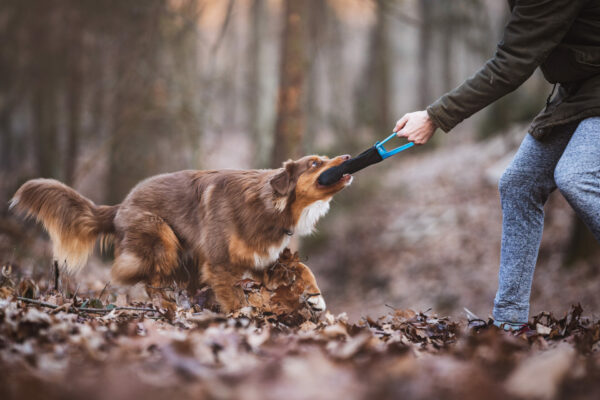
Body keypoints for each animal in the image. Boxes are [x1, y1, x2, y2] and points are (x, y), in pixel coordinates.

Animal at [10, 155, 352, 310]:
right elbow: (234, 296)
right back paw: (168, 304)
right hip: (162, 236)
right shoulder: (219, 263)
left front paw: (317, 299)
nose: (348, 158)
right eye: (314, 163)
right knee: (143, 277)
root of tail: (120, 206)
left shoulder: (265, 261)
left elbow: (304, 269)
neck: (270, 204)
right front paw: (245, 318)